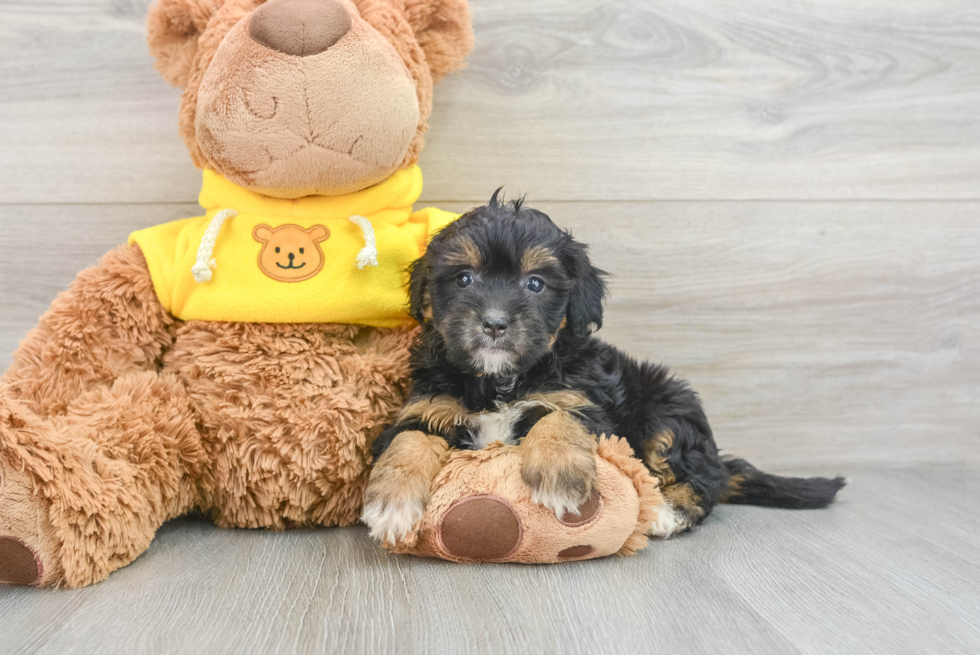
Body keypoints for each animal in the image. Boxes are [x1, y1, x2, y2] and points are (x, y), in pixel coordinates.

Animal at [360, 193, 844, 544]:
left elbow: (558, 418)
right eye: (464, 279)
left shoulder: (583, 402)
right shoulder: (427, 406)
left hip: (667, 409)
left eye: (535, 284)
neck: (501, 380)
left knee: (701, 479)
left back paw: (667, 512)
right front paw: (392, 505)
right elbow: (408, 440)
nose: (494, 323)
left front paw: (560, 477)